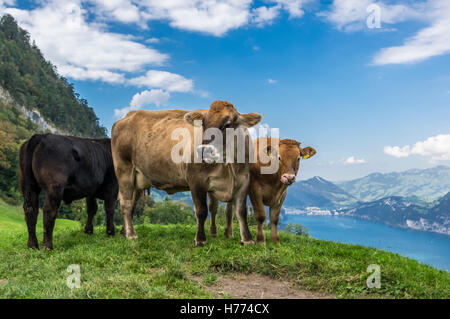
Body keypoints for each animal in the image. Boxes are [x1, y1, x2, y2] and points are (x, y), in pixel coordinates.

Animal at [110, 101, 262, 246]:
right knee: (126, 203)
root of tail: (128, 115)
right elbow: (201, 211)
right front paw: (200, 239)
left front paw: (247, 239)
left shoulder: (243, 180)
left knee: (132, 202)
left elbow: (241, 211)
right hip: (124, 170)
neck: (228, 163)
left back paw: (124, 231)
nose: (204, 150)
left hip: (137, 178)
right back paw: (131, 234)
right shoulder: (196, 180)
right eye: (203, 124)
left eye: (227, 124)